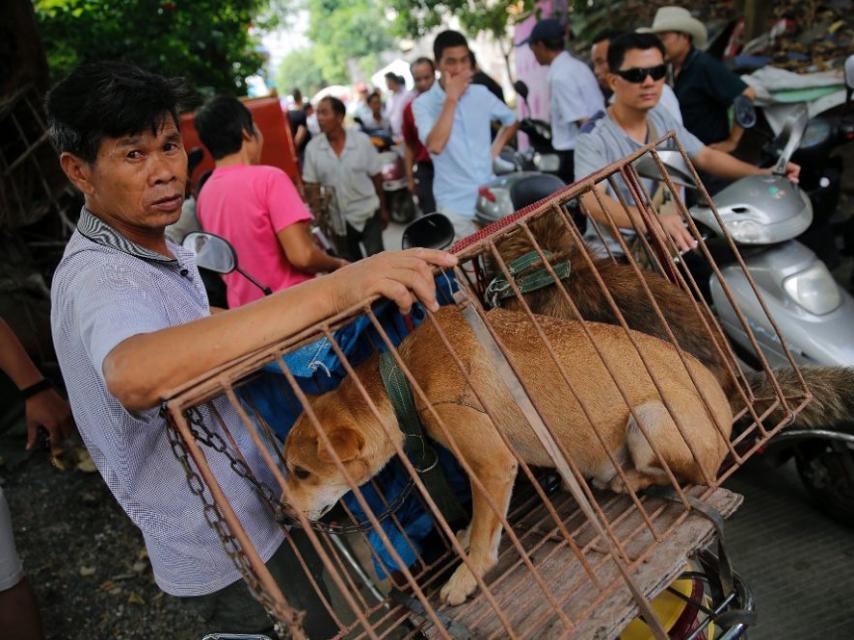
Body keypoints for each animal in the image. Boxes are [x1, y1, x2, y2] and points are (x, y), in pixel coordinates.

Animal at [282, 304, 736, 604]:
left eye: (300, 472)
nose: (283, 516)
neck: (403, 381)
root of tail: (728, 416)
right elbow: (478, 518)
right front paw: (465, 537)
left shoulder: (494, 464)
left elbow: (487, 534)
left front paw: (466, 578)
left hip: (649, 418)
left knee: (687, 476)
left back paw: (622, 478)